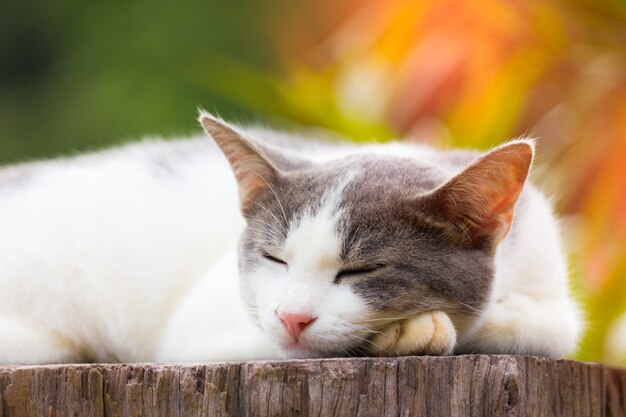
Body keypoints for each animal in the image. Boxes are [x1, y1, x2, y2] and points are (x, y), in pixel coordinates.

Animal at [0, 112, 580, 362]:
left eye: (362, 270)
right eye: (274, 259)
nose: (291, 317)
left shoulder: (547, 271)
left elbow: (544, 326)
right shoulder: (198, 334)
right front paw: (416, 329)